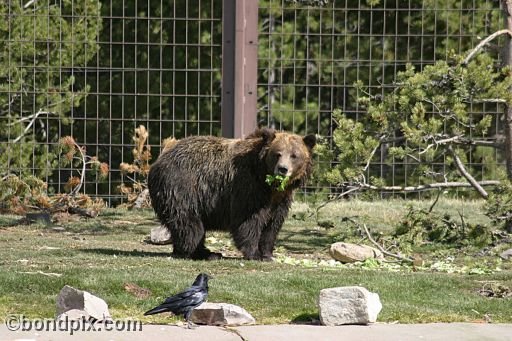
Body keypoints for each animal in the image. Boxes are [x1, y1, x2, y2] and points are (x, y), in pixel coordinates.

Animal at [147, 128, 316, 260]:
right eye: (277, 154)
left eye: (294, 155)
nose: (282, 169)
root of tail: (161, 157)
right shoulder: (248, 188)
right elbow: (248, 221)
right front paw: (255, 254)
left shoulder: (280, 200)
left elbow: (272, 226)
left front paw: (268, 254)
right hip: (182, 188)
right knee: (189, 224)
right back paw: (201, 253)